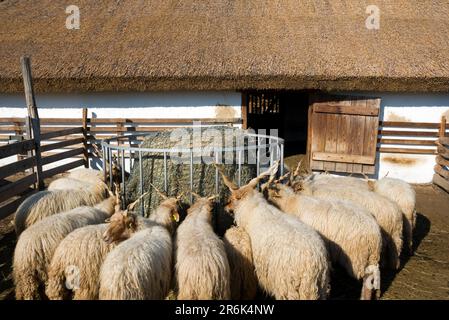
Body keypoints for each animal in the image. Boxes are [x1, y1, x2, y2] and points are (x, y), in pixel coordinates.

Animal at [217, 164, 328, 302]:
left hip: (288, 288)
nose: (225, 208)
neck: (253, 207)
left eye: (232, 199)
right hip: (321, 288)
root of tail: (314, 264)